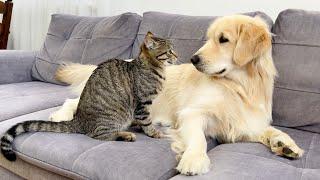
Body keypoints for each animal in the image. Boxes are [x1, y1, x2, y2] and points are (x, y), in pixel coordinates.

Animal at [0, 31, 178, 161]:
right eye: (169, 51)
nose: (177, 55)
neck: (153, 67)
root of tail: (78, 119)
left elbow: (143, 120)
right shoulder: (142, 103)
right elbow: (147, 121)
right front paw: (153, 132)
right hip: (111, 119)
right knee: (99, 135)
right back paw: (125, 135)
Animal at [50, 14, 302, 176]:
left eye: (223, 39)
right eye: (209, 38)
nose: (193, 59)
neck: (239, 87)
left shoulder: (241, 124)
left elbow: (271, 131)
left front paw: (286, 145)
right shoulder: (192, 113)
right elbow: (199, 138)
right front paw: (194, 158)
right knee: (73, 101)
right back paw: (59, 115)